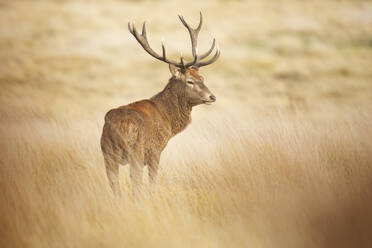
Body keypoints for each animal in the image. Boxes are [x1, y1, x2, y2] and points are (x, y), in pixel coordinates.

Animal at [100, 13, 219, 196]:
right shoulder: (156, 150)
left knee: (113, 182)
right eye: (190, 81)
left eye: (202, 78)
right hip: (136, 150)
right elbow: (153, 182)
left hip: (107, 151)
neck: (168, 121)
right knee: (136, 180)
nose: (212, 97)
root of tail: (122, 125)